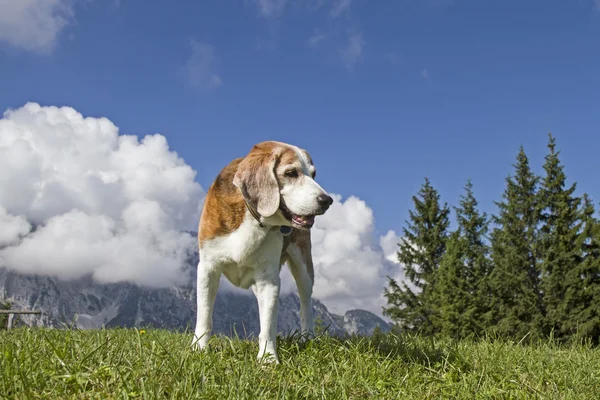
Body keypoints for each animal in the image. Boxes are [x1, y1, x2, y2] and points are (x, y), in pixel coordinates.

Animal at [192, 141, 332, 362]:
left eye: (313, 174)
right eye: (291, 173)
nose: (327, 200)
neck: (252, 215)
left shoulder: (268, 279)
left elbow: (268, 323)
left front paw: (268, 359)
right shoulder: (208, 268)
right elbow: (205, 314)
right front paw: (199, 348)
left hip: (303, 267)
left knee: (305, 304)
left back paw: (307, 337)